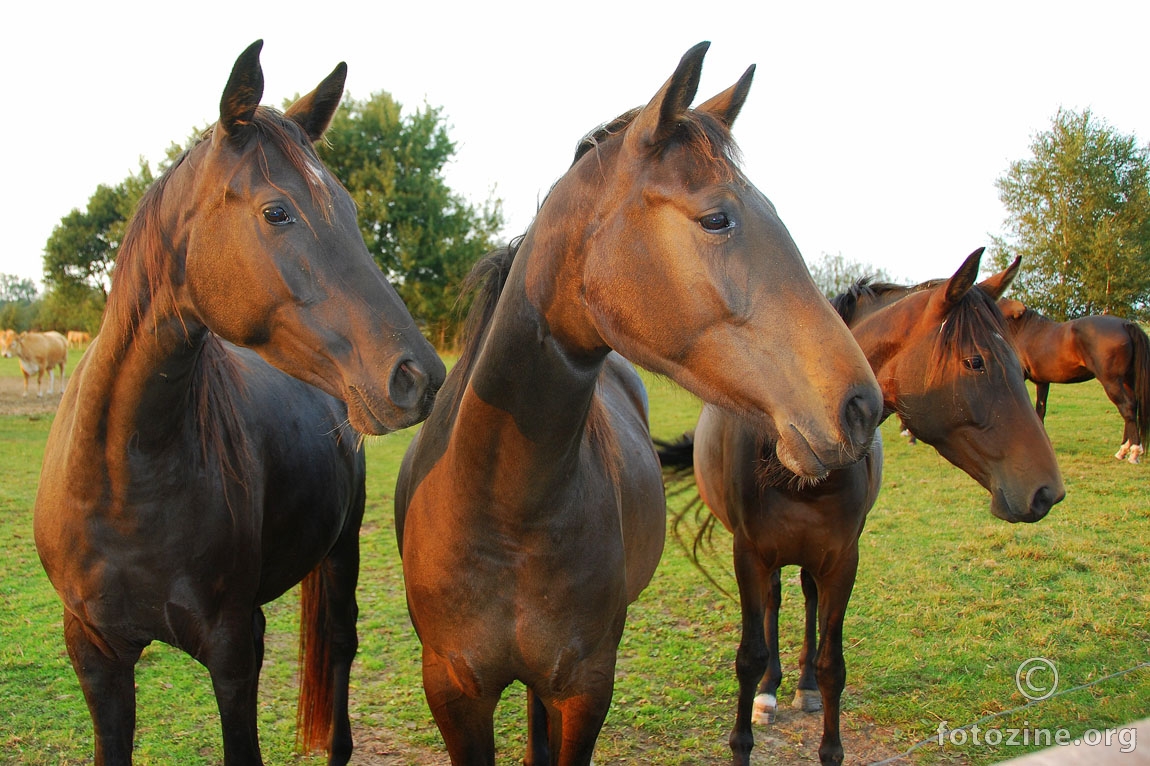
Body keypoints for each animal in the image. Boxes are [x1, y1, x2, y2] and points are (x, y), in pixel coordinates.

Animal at [32, 41, 443, 763]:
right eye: (277, 211)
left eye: (351, 210)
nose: (416, 376)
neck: (121, 476)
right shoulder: (95, 652)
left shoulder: (231, 649)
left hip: (340, 552)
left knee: (339, 644)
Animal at [662, 249, 1062, 763]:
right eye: (975, 361)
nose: (1047, 490)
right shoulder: (749, 554)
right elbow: (749, 658)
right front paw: (748, 726)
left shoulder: (842, 560)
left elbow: (833, 664)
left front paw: (825, 724)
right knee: (775, 601)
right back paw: (770, 691)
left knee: (807, 598)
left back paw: (803, 686)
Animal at [998, 294, 1150, 462]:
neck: (1020, 330)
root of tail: (1125, 324)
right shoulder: (1043, 382)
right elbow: (1040, 410)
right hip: (1127, 380)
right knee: (1132, 407)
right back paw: (1123, 450)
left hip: (1112, 381)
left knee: (1127, 407)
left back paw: (1134, 452)